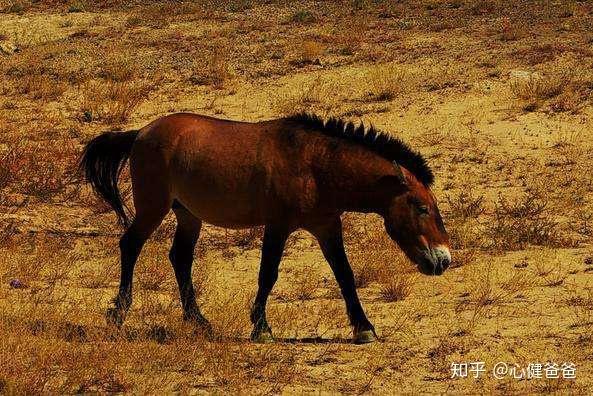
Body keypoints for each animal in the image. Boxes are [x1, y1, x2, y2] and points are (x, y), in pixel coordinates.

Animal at [80, 111, 448, 344]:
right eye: (422, 207)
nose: (443, 260)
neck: (314, 165)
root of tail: (140, 133)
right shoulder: (278, 226)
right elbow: (267, 275)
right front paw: (262, 328)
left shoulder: (327, 226)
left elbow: (344, 274)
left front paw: (363, 328)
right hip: (152, 209)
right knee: (130, 246)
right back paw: (119, 312)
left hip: (188, 215)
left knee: (180, 258)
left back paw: (198, 321)